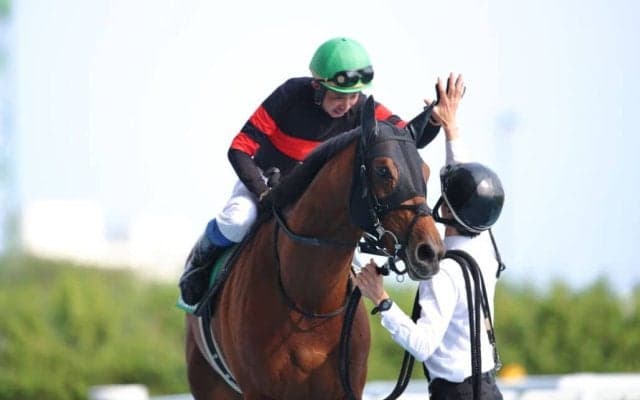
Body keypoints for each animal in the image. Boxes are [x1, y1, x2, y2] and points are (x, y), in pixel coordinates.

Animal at [184, 96, 444, 400]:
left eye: (426, 171)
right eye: (383, 170)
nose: (430, 252)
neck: (309, 302)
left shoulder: (346, 389)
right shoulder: (259, 391)